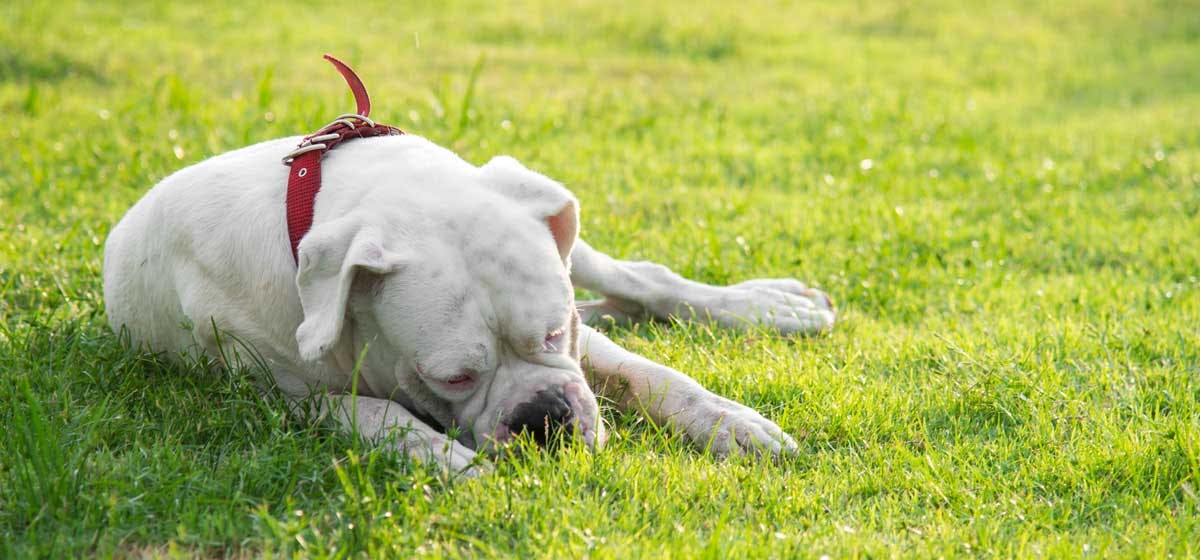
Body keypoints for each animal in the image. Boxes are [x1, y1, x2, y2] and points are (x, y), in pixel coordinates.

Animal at [105, 133, 835, 474]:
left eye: (553, 335)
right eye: (453, 378)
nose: (544, 418)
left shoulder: (578, 331)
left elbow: (648, 374)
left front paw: (729, 422)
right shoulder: (283, 391)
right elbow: (372, 412)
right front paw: (442, 456)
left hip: (549, 216)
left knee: (638, 278)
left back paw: (769, 307)